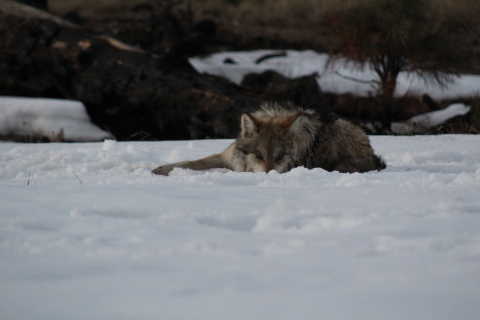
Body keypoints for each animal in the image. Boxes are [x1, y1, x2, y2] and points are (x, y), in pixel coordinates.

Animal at [154, 101, 386, 175]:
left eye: (280, 156)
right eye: (258, 155)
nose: (269, 175)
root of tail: (374, 155)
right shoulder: (225, 157)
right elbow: (193, 161)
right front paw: (162, 169)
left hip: (338, 130)